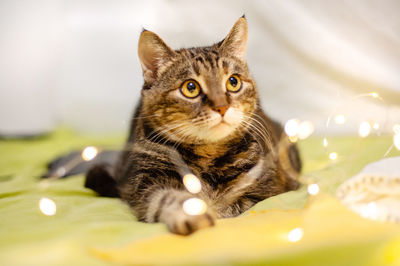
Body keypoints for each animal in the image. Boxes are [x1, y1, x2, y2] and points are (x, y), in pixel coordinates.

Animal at [86, 16, 302, 235]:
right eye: (191, 88)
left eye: (233, 82)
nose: (222, 107)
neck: (209, 155)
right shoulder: (145, 184)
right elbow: (166, 198)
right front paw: (191, 214)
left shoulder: (269, 188)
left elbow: (236, 205)